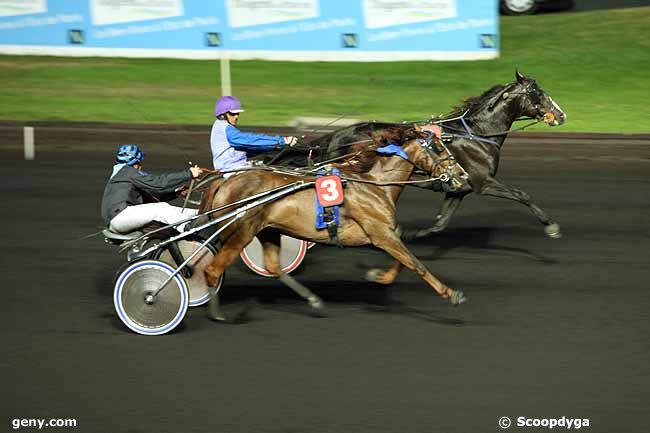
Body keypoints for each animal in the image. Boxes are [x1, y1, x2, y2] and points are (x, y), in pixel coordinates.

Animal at [258, 71, 560, 240]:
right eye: (538, 92)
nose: (561, 114)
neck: (476, 133)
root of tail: (337, 135)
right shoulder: (482, 182)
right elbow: (523, 195)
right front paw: (551, 226)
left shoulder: (459, 187)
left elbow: (440, 223)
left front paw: (416, 234)